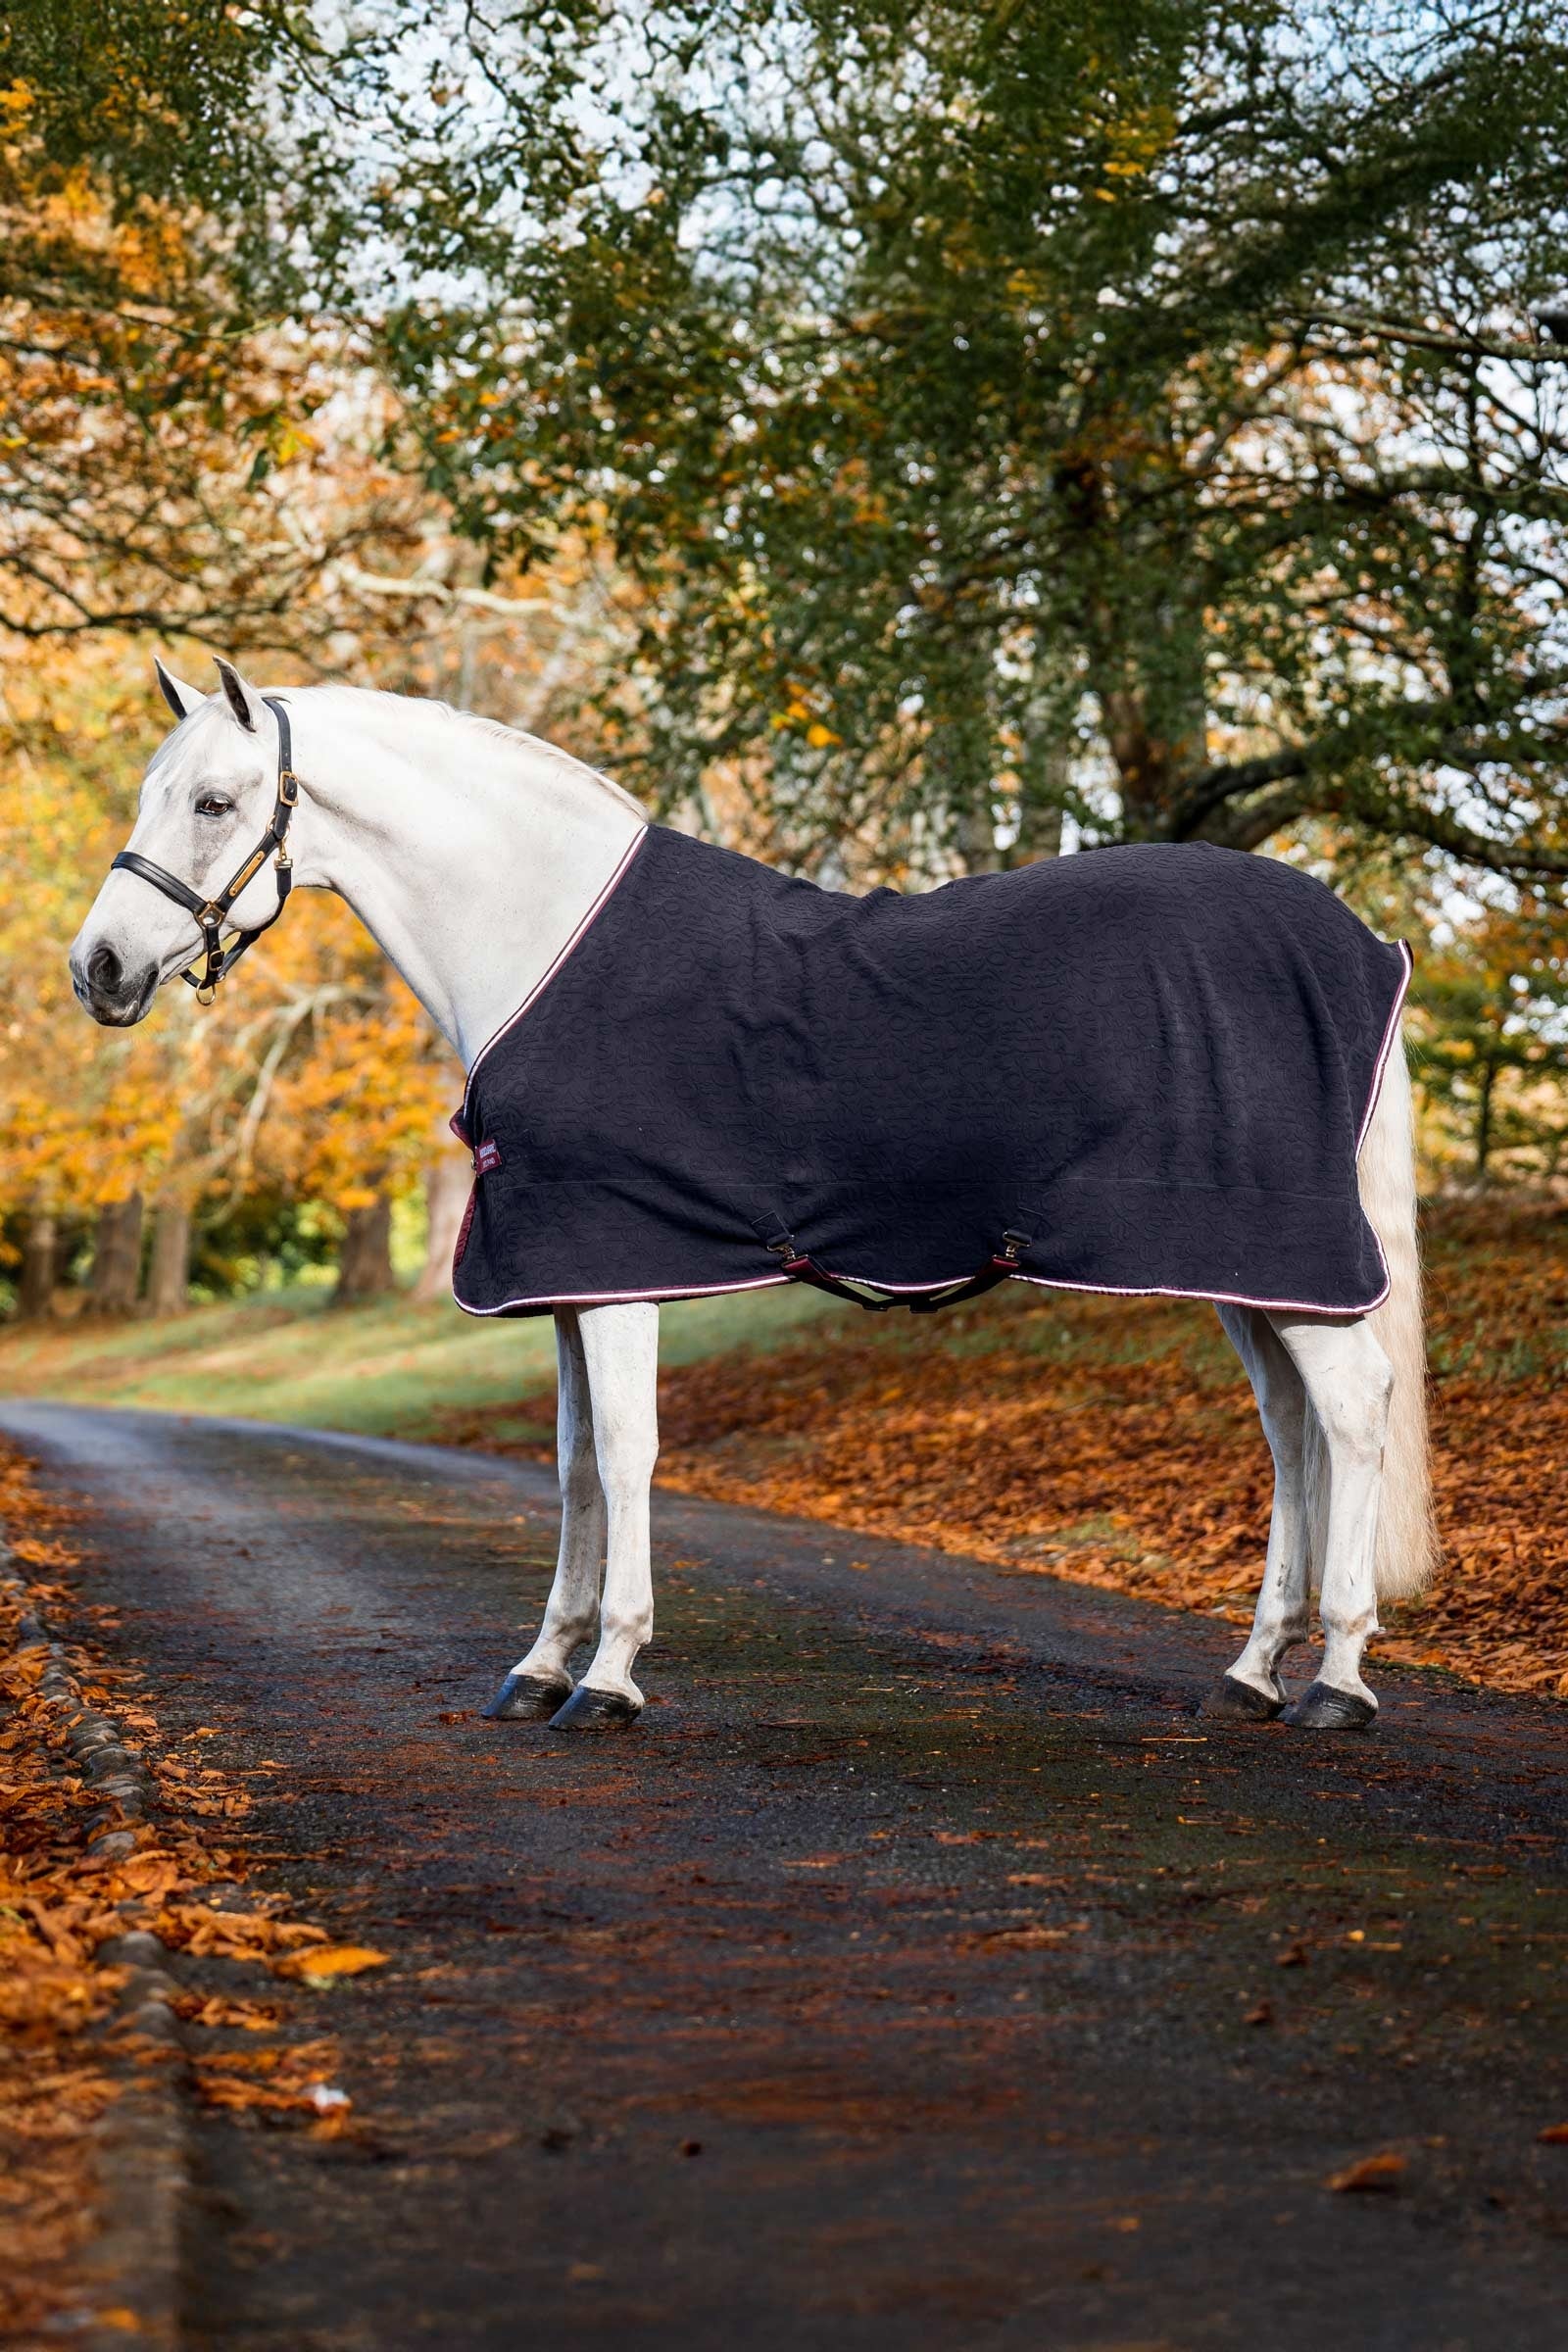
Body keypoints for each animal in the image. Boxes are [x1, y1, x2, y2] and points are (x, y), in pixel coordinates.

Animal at [68, 658, 1435, 1734]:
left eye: (214, 801)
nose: (99, 969)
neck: (543, 937)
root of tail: (1361, 944)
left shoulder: (618, 1267)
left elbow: (625, 1456)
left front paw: (608, 1678)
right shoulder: (565, 1276)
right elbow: (572, 1464)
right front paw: (540, 1663)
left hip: (1284, 1263)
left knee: (1350, 1413)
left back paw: (1337, 1682)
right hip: (1243, 1273)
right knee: (1291, 1434)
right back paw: (1251, 1672)